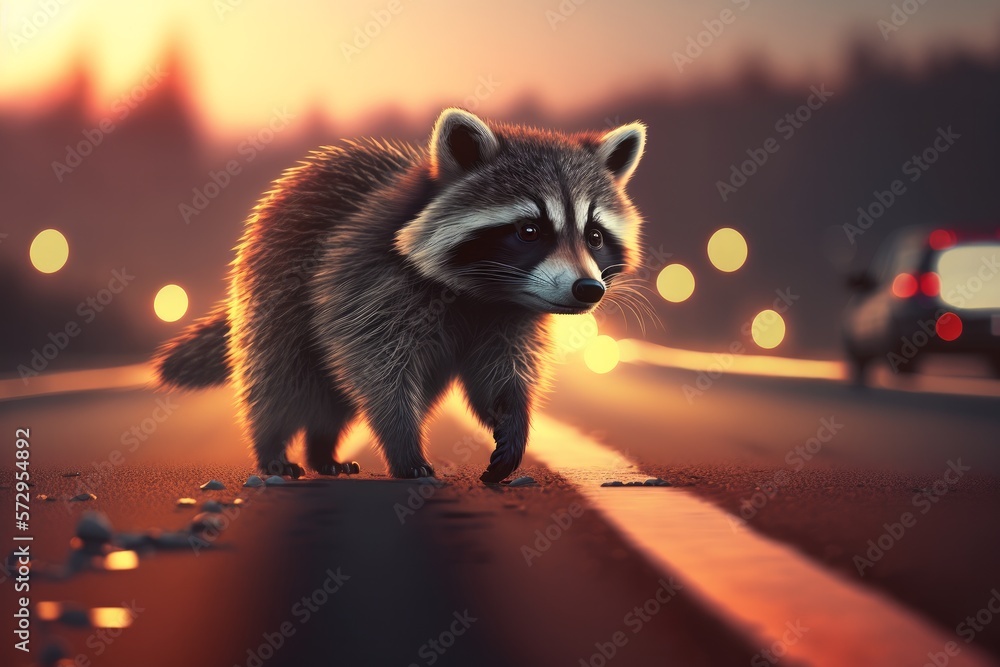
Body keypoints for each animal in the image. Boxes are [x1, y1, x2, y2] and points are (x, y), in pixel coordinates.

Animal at [155, 108, 647, 483]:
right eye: (529, 230)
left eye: (594, 235)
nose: (588, 289)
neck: (482, 291)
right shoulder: (366, 282)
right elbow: (376, 369)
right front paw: (402, 443)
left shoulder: (507, 313)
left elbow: (500, 373)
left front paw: (512, 423)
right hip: (274, 291)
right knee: (281, 377)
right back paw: (273, 447)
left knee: (334, 397)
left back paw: (322, 449)